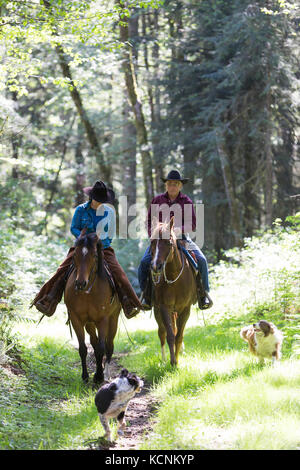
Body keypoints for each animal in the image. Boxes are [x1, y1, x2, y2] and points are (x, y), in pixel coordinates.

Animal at [64, 229, 120, 384]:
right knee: (94, 343)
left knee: (109, 345)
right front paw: (85, 376)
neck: (88, 291)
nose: (80, 283)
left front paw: (99, 376)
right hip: (89, 323)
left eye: (94, 255)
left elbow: (101, 348)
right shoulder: (76, 319)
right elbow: (83, 348)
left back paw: (105, 373)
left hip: (113, 319)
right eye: (75, 254)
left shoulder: (103, 319)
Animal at [150, 217, 197, 368]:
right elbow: (170, 335)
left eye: (168, 242)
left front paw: (176, 359)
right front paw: (172, 362)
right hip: (158, 311)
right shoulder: (164, 307)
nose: (156, 266)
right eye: (152, 242)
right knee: (162, 332)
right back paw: (164, 359)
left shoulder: (185, 309)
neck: (174, 276)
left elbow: (179, 335)